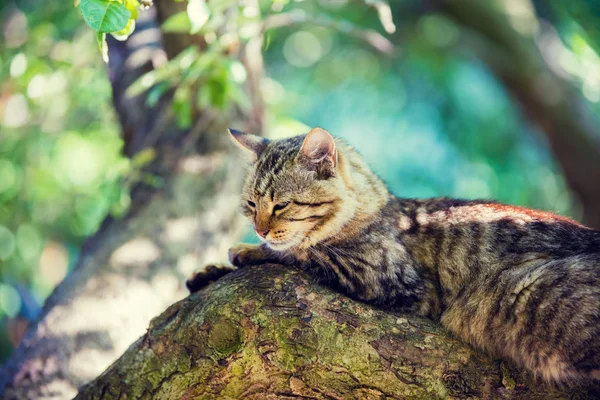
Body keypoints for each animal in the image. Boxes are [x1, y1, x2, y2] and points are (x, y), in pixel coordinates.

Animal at [188, 127, 600, 384]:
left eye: (281, 205)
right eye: (251, 204)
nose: (259, 229)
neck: (374, 208)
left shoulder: (388, 274)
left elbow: (300, 253)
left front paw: (245, 250)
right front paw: (206, 271)